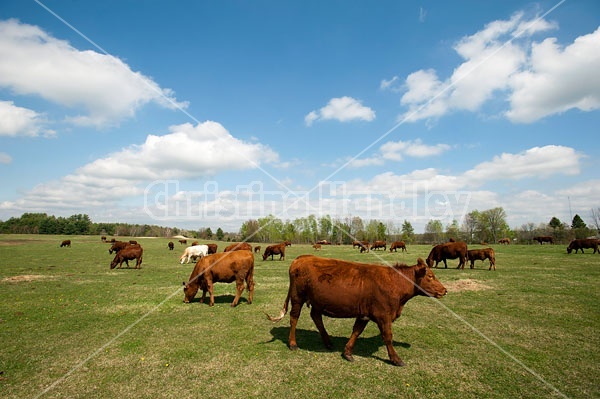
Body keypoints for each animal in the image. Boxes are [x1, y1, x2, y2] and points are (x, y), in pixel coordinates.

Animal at [268, 258, 446, 368]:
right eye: (430, 276)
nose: (445, 290)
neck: (394, 283)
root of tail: (300, 259)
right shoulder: (383, 315)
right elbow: (388, 337)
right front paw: (396, 359)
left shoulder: (364, 314)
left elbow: (356, 331)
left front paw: (347, 352)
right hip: (297, 297)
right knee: (294, 318)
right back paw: (293, 343)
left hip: (318, 302)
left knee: (316, 317)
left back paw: (328, 342)